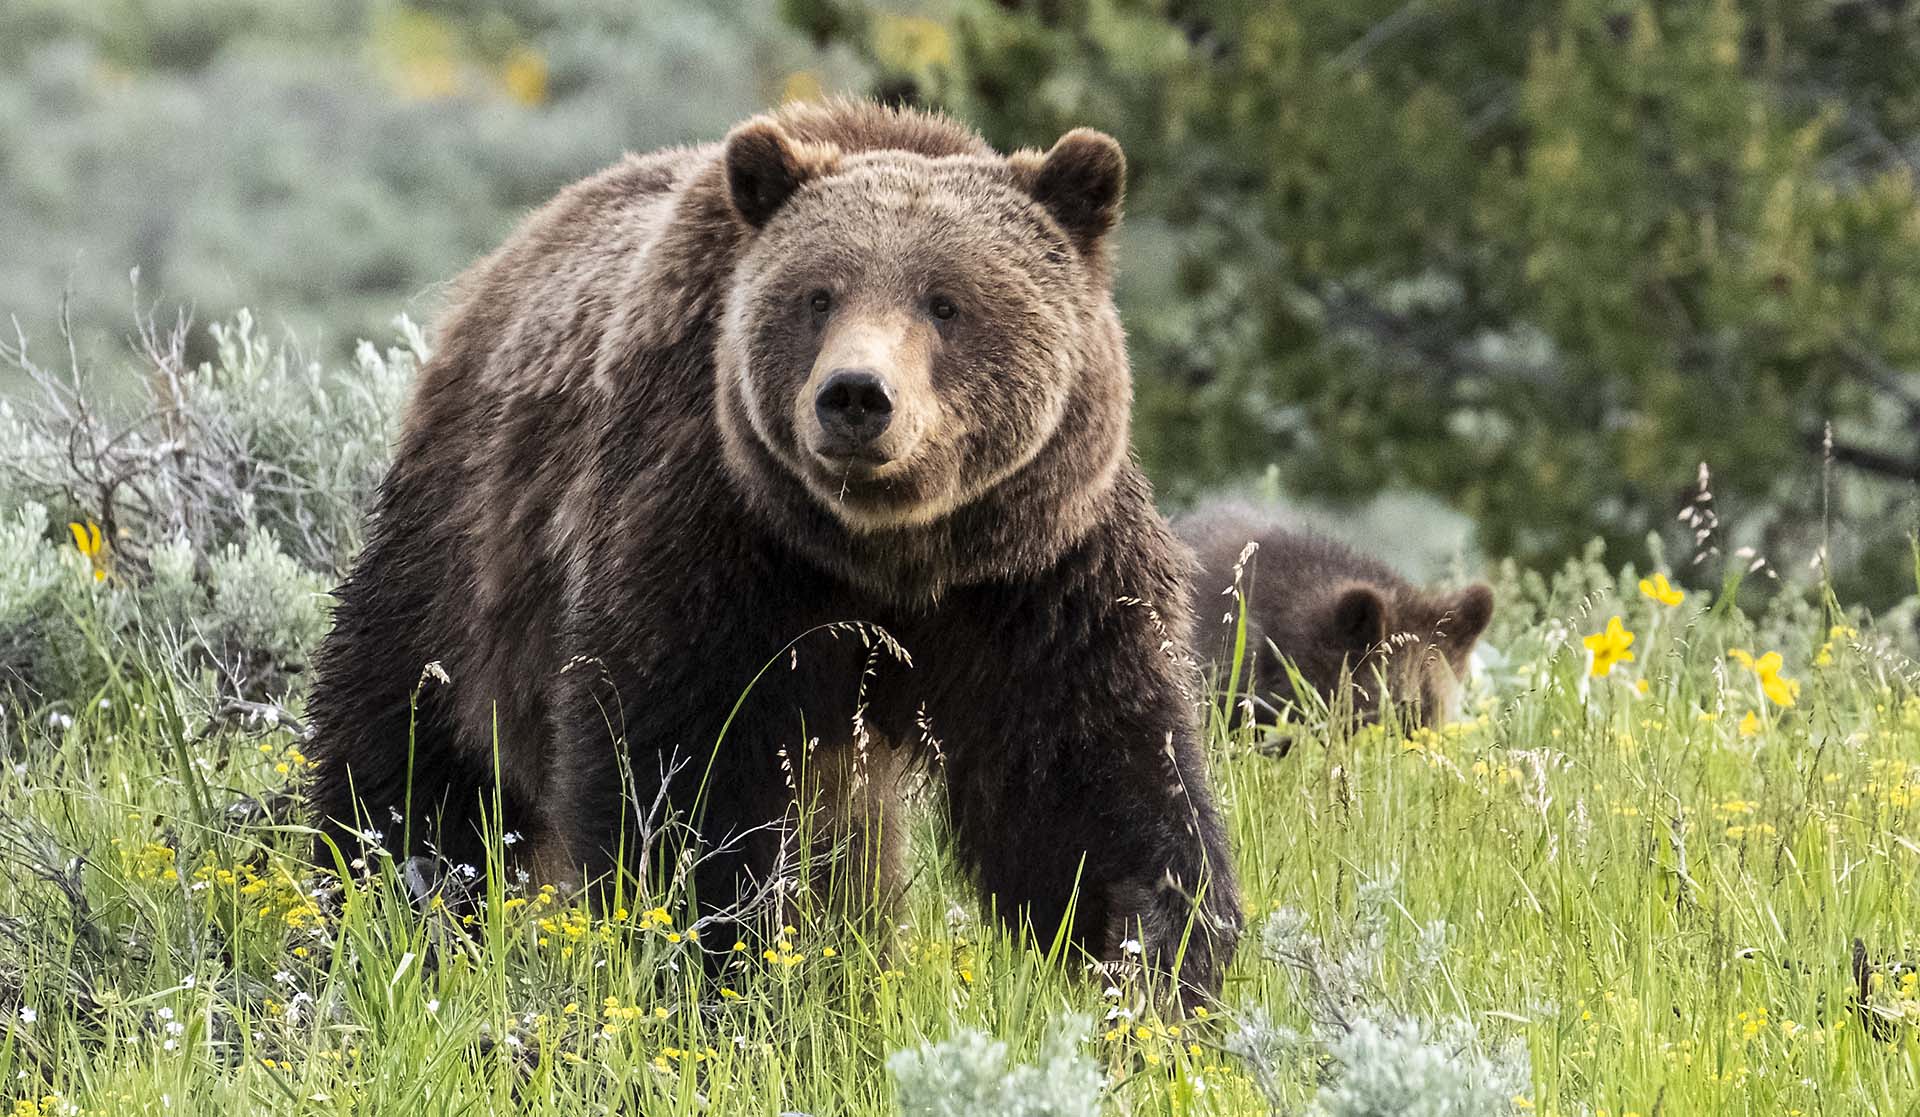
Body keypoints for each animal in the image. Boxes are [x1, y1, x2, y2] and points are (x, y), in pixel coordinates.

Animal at [305, 98, 1244, 1005]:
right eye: (819, 296)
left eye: (945, 301)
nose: (857, 395)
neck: (888, 556)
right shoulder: (715, 543)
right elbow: (683, 782)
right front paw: (718, 961)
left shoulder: (1038, 571)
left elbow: (1091, 783)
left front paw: (1157, 964)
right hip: (461, 552)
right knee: (411, 757)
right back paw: (377, 911)